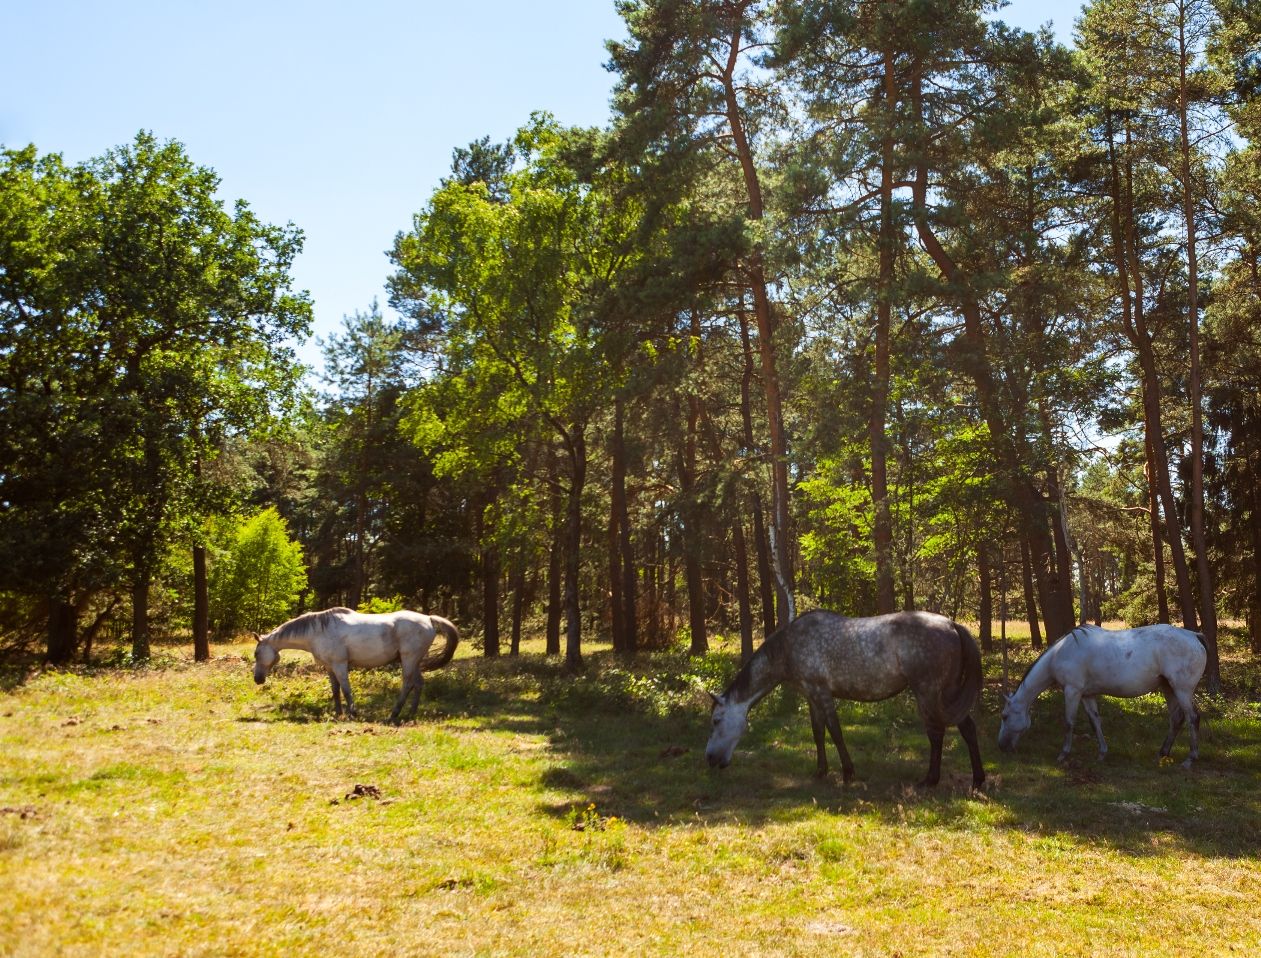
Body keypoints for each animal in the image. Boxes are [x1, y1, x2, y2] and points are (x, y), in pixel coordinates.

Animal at [249, 610, 459, 721]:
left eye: (257, 653)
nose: (257, 679)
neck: (317, 632)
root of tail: (428, 618)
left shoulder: (340, 665)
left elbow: (346, 689)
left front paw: (352, 713)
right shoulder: (329, 667)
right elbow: (335, 690)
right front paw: (338, 713)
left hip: (409, 659)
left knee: (407, 684)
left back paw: (394, 714)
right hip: (414, 662)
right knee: (419, 684)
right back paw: (410, 714)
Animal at [701, 610, 983, 791]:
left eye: (716, 720)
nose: (710, 759)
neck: (789, 647)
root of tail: (952, 624)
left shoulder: (822, 694)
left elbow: (835, 732)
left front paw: (848, 773)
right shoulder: (812, 697)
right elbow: (818, 733)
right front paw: (820, 772)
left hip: (928, 692)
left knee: (936, 734)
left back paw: (930, 780)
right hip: (949, 693)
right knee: (968, 729)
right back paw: (978, 780)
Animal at [998, 625, 1205, 766]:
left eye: (1005, 716)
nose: (1001, 746)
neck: (1061, 653)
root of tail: (1194, 635)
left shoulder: (1072, 691)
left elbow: (1069, 722)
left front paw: (1064, 754)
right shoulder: (1087, 695)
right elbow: (1095, 722)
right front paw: (1102, 753)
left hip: (1182, 690)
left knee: (1192, 717)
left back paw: (1190, 758)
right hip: (1169, 689)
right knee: (1176, 719)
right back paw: (1163, 753)